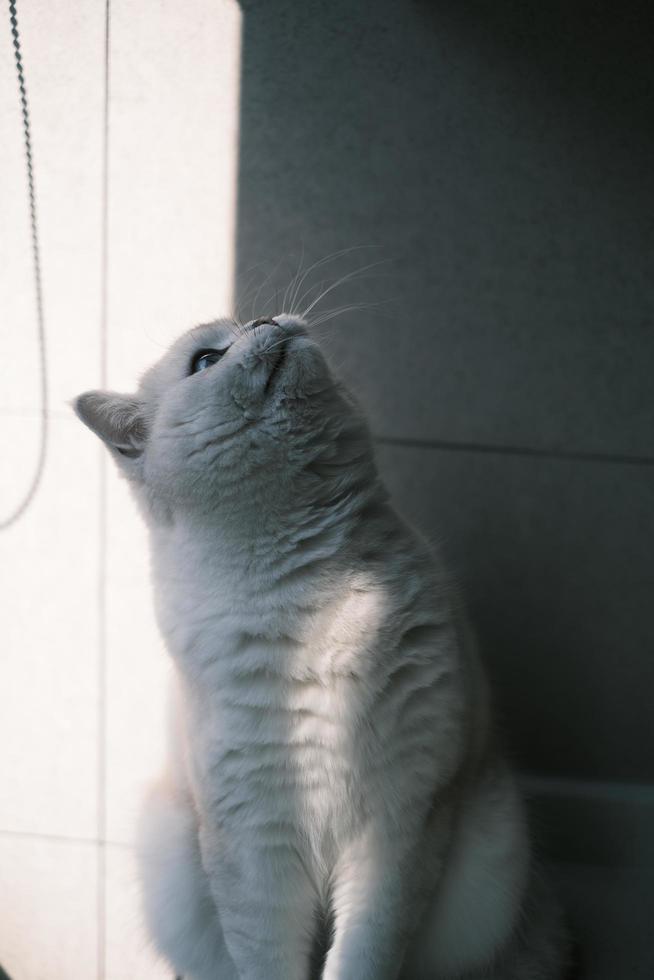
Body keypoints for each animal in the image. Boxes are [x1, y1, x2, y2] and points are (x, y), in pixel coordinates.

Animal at [74, 314, 572, 980]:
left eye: (248, 325)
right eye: (205, 361)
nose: (267, 320)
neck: (310, 587)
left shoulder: (398, 828)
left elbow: (362, 956)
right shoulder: (254, 847)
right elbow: (268, 960)